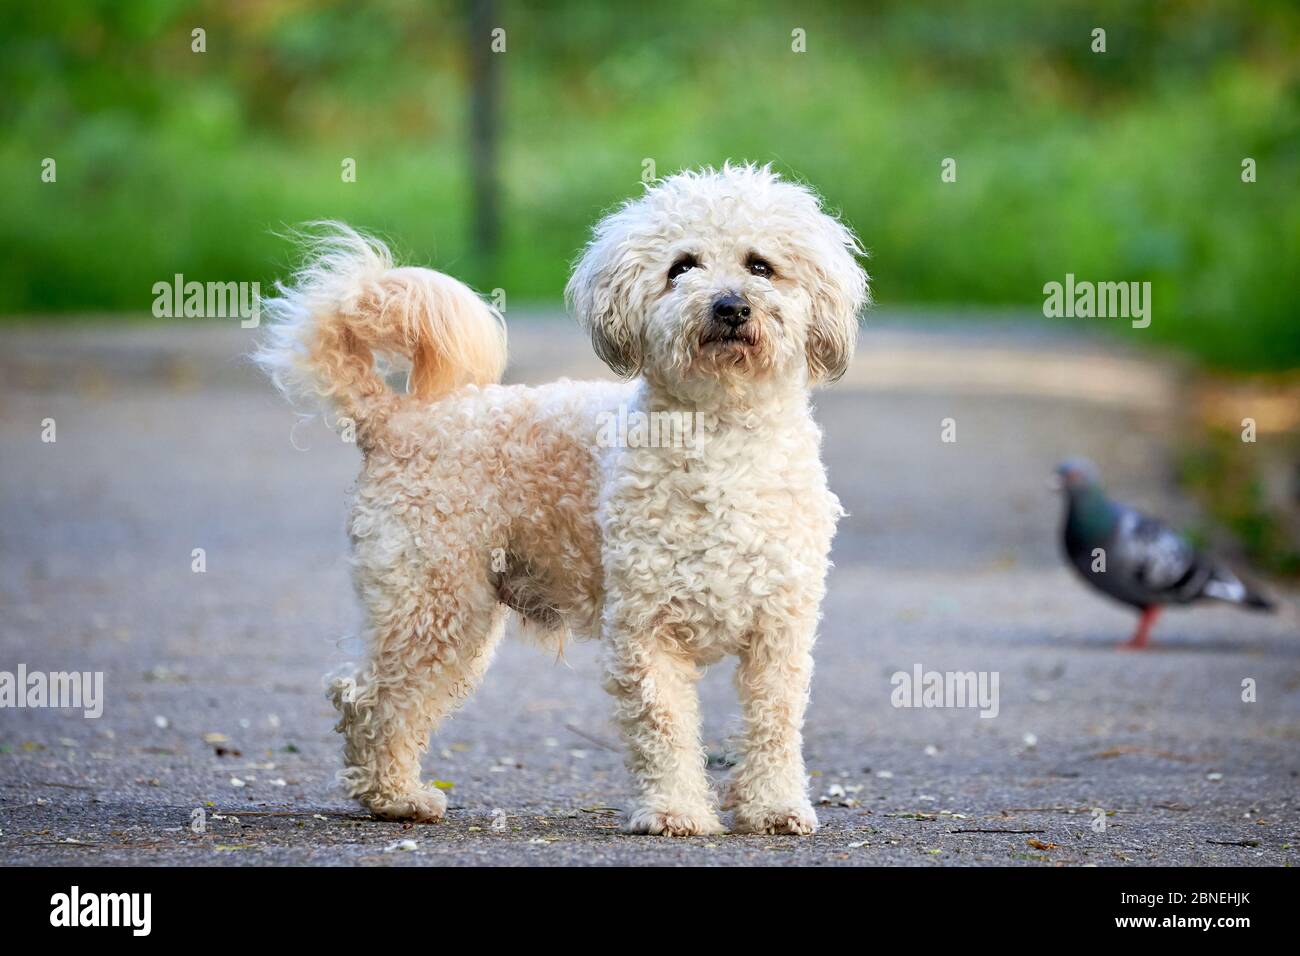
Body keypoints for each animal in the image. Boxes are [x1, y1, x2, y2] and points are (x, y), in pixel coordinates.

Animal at [257, 164, 868, 837]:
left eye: (761, 266)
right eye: (682, 266)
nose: (731, 305)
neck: (722, 435)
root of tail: (395, 419)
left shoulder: (780, 631)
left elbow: (774, 725)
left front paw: (775, 807)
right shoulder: (644, 630)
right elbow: (664, 728)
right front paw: (675, 810)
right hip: (433, 601)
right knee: (367, 696)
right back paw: (394, 797)